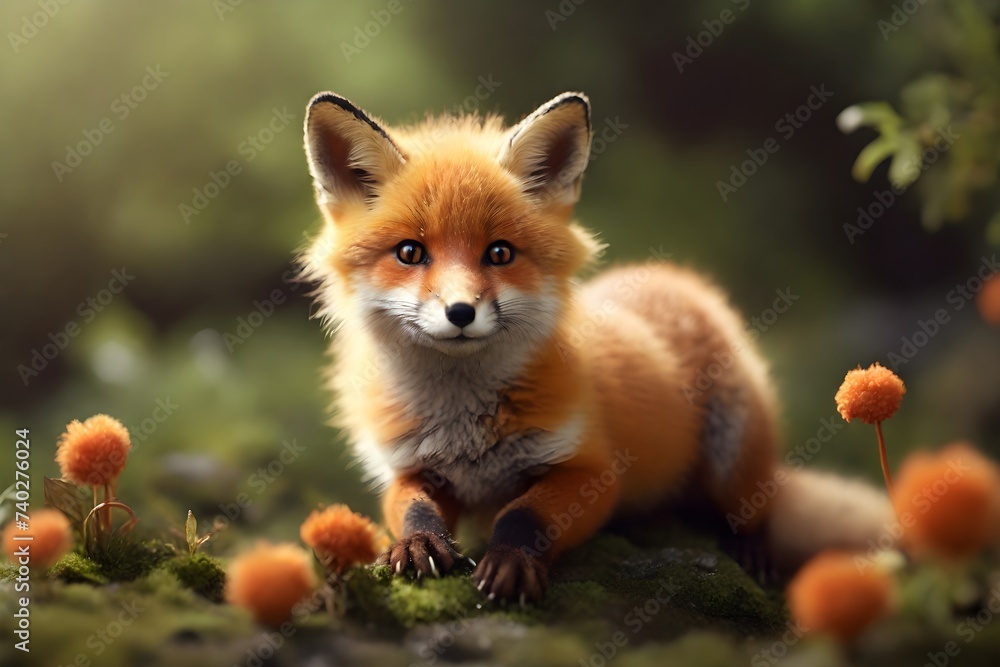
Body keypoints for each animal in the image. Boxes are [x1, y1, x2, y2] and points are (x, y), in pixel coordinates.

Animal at [299, 91, 893, 603]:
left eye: (499, 253)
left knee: (755, 512)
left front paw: (513, 562)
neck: (463, 426)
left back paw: (751, 549)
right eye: (410, 252)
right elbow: (412, 509)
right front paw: (418, 544)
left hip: (734, 453)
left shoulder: (589, 472)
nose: (461, 312)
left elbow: (523, 515)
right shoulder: (410, 467)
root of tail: (677, 281)